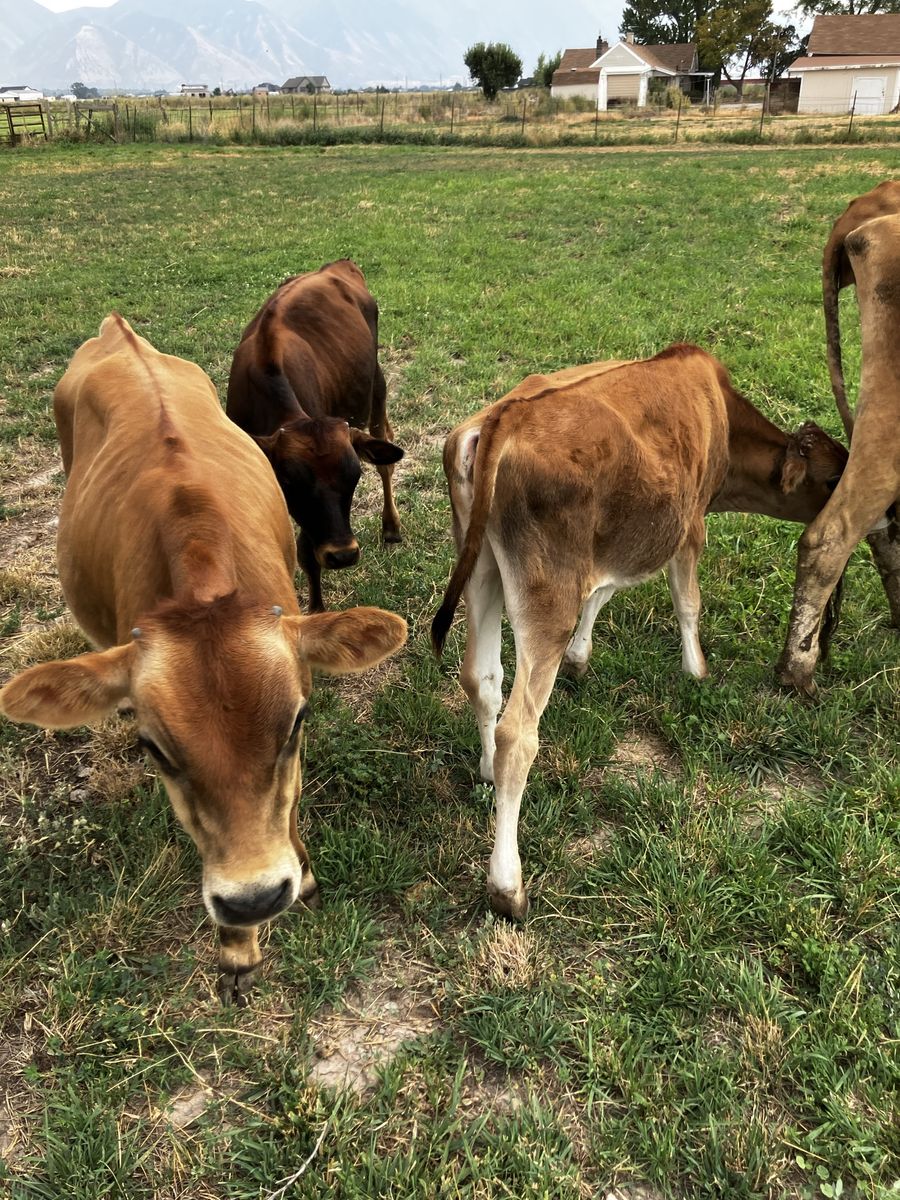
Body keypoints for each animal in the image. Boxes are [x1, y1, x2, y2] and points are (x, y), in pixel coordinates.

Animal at [0, 316, 407, 1003]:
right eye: (154, 748)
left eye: (296, 724)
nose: (255, 899)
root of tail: (118, 331)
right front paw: (239, 950)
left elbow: (287, 802)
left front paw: (304, 876)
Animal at [226, 259, 404, 613]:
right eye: (291, 482)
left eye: (354, 477)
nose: (343, 554)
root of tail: (338, 266)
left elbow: (307, 553)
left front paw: (317, 612)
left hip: (376, 384)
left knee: (385, 462)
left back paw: (391, 526)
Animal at [431, 345, 848, 920]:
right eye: (831, 479)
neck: (721, 416)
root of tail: (501, 419)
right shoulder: (690, 524)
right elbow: (688, 603)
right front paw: (697, 672)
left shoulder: (618, 546)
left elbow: (603, 594)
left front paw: (582, 657)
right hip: (547, 592)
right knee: (518, 732)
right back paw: (508, 885)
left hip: (482, 571)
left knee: (481, 677)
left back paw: (487, 769)